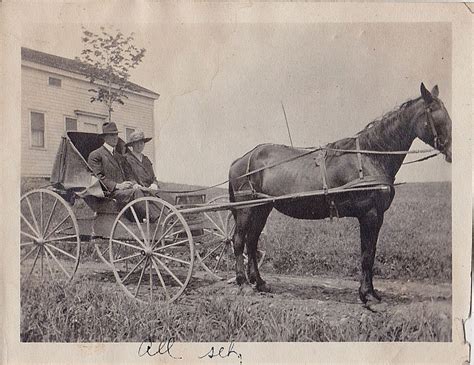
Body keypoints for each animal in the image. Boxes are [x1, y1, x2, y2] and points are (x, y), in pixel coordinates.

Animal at [229, 84, 452, 302]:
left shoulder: (377, 216)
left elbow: (371, 252)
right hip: (246, 208)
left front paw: (372, 292)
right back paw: (244, 284)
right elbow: (366, 255)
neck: (370, 157)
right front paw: (366, 294)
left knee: (252, 241)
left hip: (262, 208)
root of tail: (241, 159)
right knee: (239, 240)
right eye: (434, 112)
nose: (451, 152)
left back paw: (259, 282)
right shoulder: (369, 214)